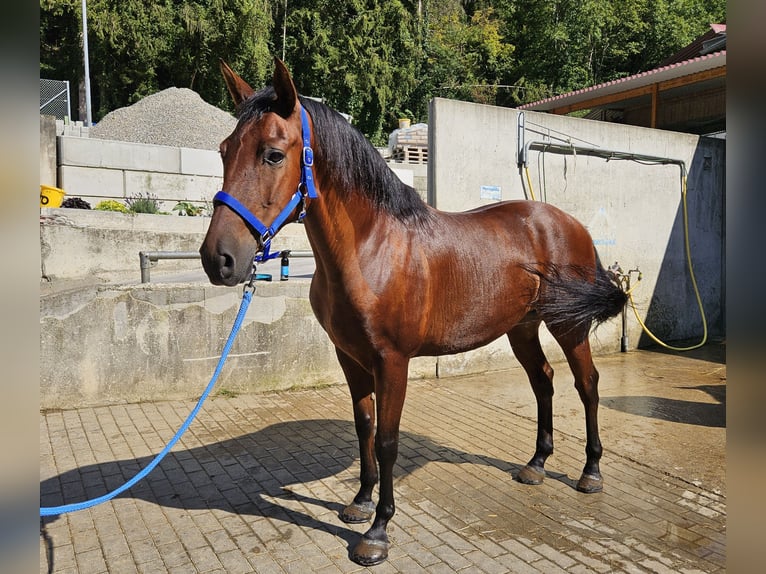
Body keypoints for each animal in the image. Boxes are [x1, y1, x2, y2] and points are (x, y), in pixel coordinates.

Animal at [201, 58, 628, 568]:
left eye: (272, 155)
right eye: (224, 151)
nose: (219, 259)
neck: (371, 247)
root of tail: (570, 223)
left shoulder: (392, 361)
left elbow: (387, 439)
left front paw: (377, 533)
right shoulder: (351, 357)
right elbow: (364, 427)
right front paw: (360, 502)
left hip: (569, 325)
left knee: (587, 385)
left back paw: (590, 471)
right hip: (522, 328)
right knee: (543, 381)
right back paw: (536, 464)